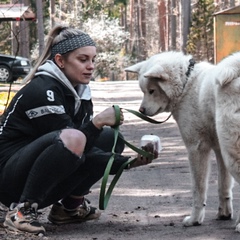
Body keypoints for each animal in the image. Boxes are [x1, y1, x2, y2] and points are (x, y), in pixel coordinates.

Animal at [124, 51, 240, 232]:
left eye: (152, 91)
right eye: (143, 91)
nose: (141, 110)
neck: (186, 84)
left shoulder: (196, 148)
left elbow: (198, 190)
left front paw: (194, 219)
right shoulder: (219, 150)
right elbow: (223, 186)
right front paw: (224, 214)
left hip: (232, 153)